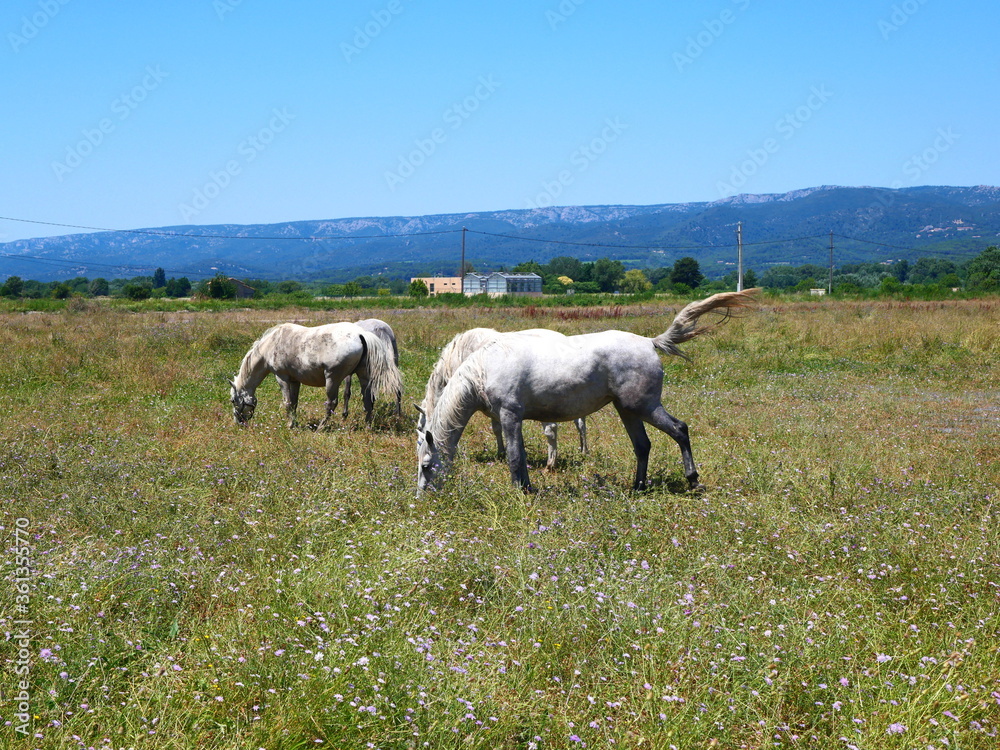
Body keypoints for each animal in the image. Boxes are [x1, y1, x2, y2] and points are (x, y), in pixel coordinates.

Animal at [229, 321, 403, 429]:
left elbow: (287, 403)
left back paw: (321, 427)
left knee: (332, 403)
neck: (272, 343)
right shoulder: (295, 381)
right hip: (363, 376)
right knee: (368, 400)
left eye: (233, 400)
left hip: (332, 379)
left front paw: (289, 425)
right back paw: (367, 426)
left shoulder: (282, 378)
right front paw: (294, 423)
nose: (238, 422)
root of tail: (361, 334)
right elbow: (294, 403)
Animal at [417, 327, 587, 471]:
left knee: (552, 429)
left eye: (419, 428)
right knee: (580, 423)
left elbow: (496, 428)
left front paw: (501, 453)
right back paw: (584, 451)